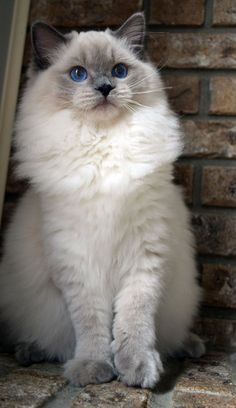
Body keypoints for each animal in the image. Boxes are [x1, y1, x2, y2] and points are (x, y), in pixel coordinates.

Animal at [0, 13, 205, 388]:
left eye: (119, 71)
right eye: (78, 74)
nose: (106, 88)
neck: (103, 143)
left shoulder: (144, 256)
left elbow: (133, 321)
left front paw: (138, 369)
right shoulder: (77, 263)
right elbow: (92, 326)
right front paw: (93, 369)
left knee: (171, 334)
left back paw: (190, 346)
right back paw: (29, 351)